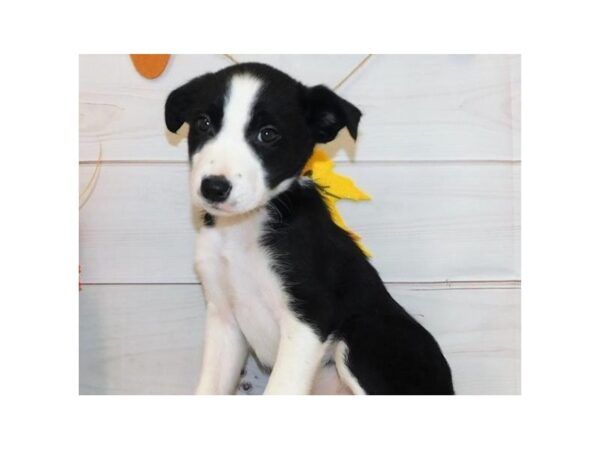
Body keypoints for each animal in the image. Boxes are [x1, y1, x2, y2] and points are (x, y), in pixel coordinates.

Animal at [165, 63, 454, 394]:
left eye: (268, 134)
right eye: (203, 123)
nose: (213, 187)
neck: (244, 227)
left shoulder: (308, 319)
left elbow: (280, 389)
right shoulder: (223, 319)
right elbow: (209, 388)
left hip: (361, 336)